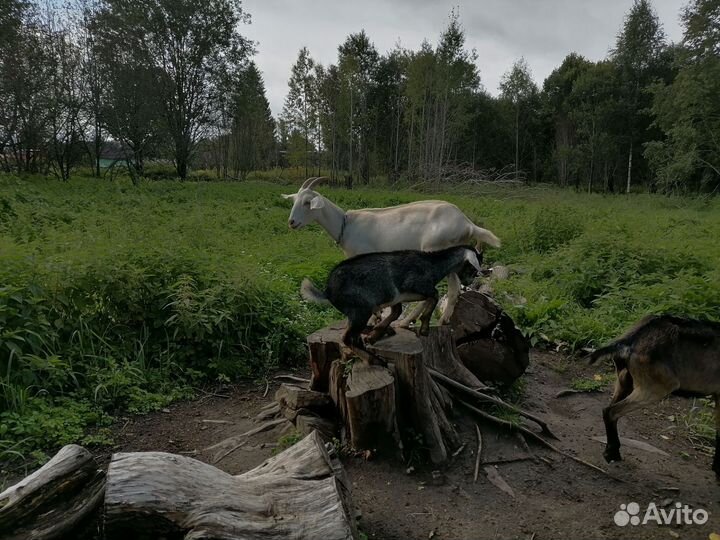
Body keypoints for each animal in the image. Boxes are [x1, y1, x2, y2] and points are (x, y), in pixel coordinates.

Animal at [283, 177, 500, 326]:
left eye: (307, 203)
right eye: (294, 201)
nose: (292, 222)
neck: (346, 224)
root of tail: (467, 223)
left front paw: (374, 318)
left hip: (436, 249)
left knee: (446, 289)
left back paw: (412, 321)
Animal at [300, 246, 482, 348]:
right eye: (472, 268)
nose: (468, 282)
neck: (432, 264)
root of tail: (328, 290)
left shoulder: (397, 298)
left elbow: (396, 312)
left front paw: (374, 335)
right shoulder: (416, 285)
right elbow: (435, 295)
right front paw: (424, 329)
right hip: (361, 309)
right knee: (347, 336)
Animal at [589, 314, 720, 476]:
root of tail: (632, 340)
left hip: (624, 381)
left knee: (608, 409)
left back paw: (611, 452)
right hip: (656, 387)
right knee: (611, 411)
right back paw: (612, 454)